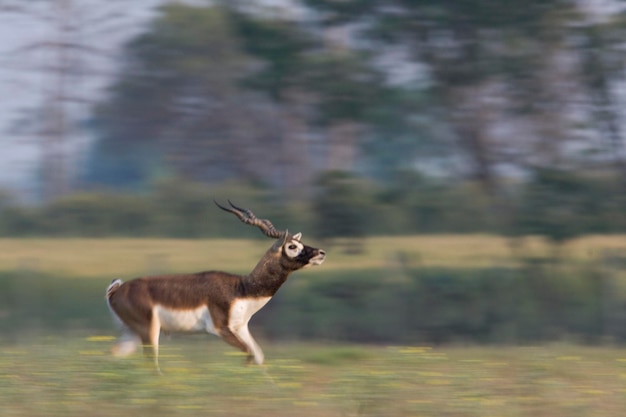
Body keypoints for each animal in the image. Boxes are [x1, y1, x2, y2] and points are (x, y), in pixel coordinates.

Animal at [104, 202, 324, 370]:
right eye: (292, 246)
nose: (321, 253)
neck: (242, 289)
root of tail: (116, 290)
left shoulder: (241, 328)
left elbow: (259, 356)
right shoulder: (221, 329)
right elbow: (249, 355)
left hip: (132, 333)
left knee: (113, 353)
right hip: (149, 330)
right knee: (151, 363)